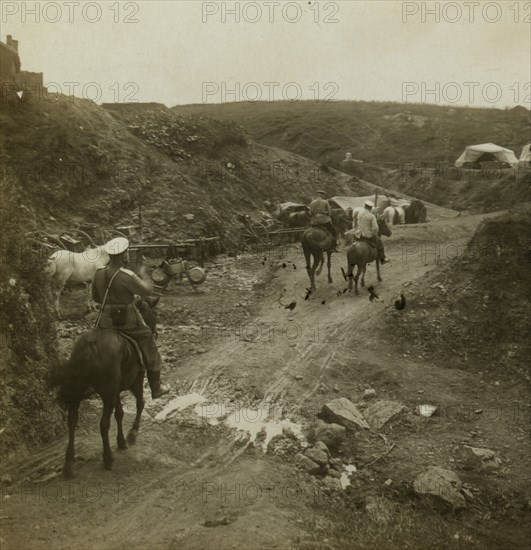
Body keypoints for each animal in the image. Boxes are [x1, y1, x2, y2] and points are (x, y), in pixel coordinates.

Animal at [51, 328, 147, 478]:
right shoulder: (132, 380)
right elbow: (136, 405)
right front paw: (129, 436)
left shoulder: (114, 390)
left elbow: (119, 413)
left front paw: (122, 441)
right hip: (111, 389)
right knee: (104, 423)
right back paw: (109, 458)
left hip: (78, 394)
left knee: (72, 422)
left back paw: (68, 465)